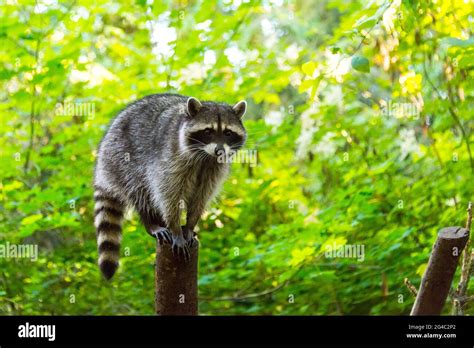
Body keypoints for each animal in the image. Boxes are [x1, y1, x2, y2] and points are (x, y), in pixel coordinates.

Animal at [93, 94, 248, 278]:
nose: (219, 151)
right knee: (140, 190)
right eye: (207, 131)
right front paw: (175, 229)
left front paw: (189, 225)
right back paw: (151, 223)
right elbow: (168, 194)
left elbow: (201, 197)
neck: (205, 156)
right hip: (121, 158)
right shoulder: (170, 159)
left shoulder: (215, 168)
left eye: (228, 133)